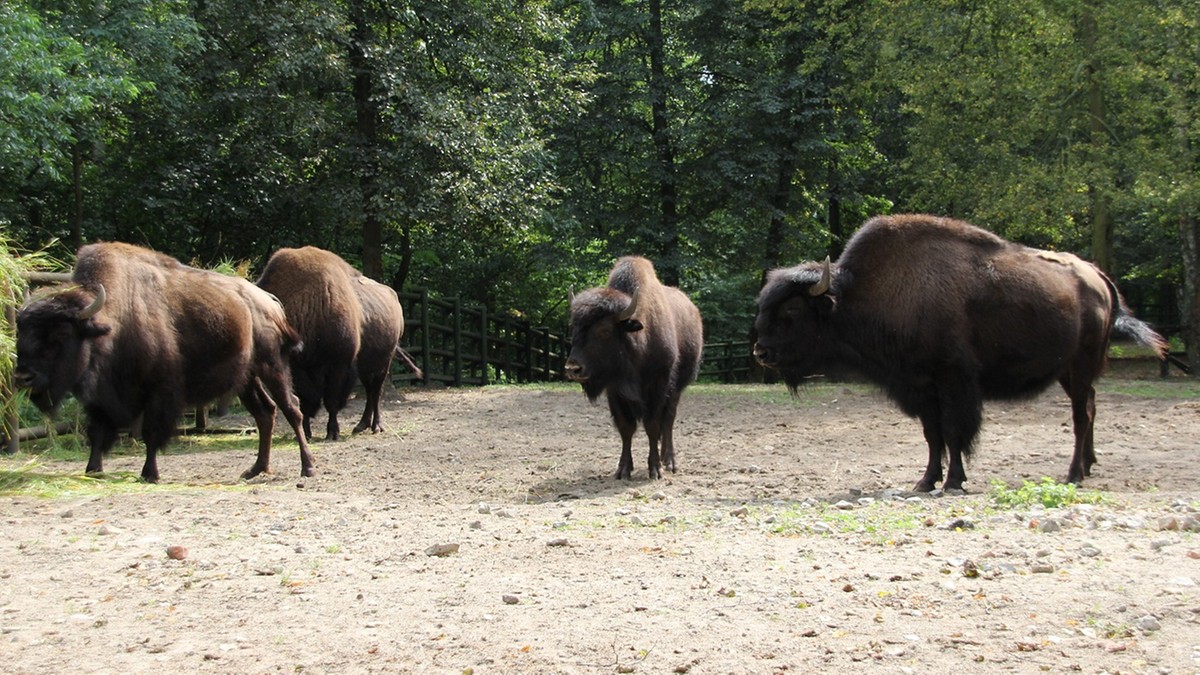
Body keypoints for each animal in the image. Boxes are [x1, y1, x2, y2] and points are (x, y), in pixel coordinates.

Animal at [15, 239, 314, 480]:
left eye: (61, 335)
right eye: (21, 333)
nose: (23, 377)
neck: (111, 323)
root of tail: (269, 303)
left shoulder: (160, 390)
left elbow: (151, 432)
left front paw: (149, 474)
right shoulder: (101, 396)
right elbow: (97, 431)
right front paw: (93, 470)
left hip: (271, 366)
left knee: (291, 408)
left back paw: (307, 466)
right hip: (246, 378)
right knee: (265, 413)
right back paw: (256, 469)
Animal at [255, 243, 362, 439]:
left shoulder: (336, 363)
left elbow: (328, 399)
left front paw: (332, 432)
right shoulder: (299, 366)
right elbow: (308, 398)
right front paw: (308, 430)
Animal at [564, 253, 700, 478]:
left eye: (604, 330)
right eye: (573, 328)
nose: (573, 369)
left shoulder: (658, 386)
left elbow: (653, 425)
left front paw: (655, 469)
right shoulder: (615, 392)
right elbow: (625, 429)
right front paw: (623, 469)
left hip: (678, 387)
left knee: (668, 421)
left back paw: (669, 461)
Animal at [753, 213, 1166, 487]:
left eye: (791, 311)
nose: (761, 353)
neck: (864, 294)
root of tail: (1098, 278)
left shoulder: (954, 382)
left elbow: (954, 432)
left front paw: (953, 481)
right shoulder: (920, 387)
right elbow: (933, 435)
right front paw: (926, 481)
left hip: (1080, 367)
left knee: (1082, 415)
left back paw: (1074, 474)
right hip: (1070, 371)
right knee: (1091, 407)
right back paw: (1090, 465)